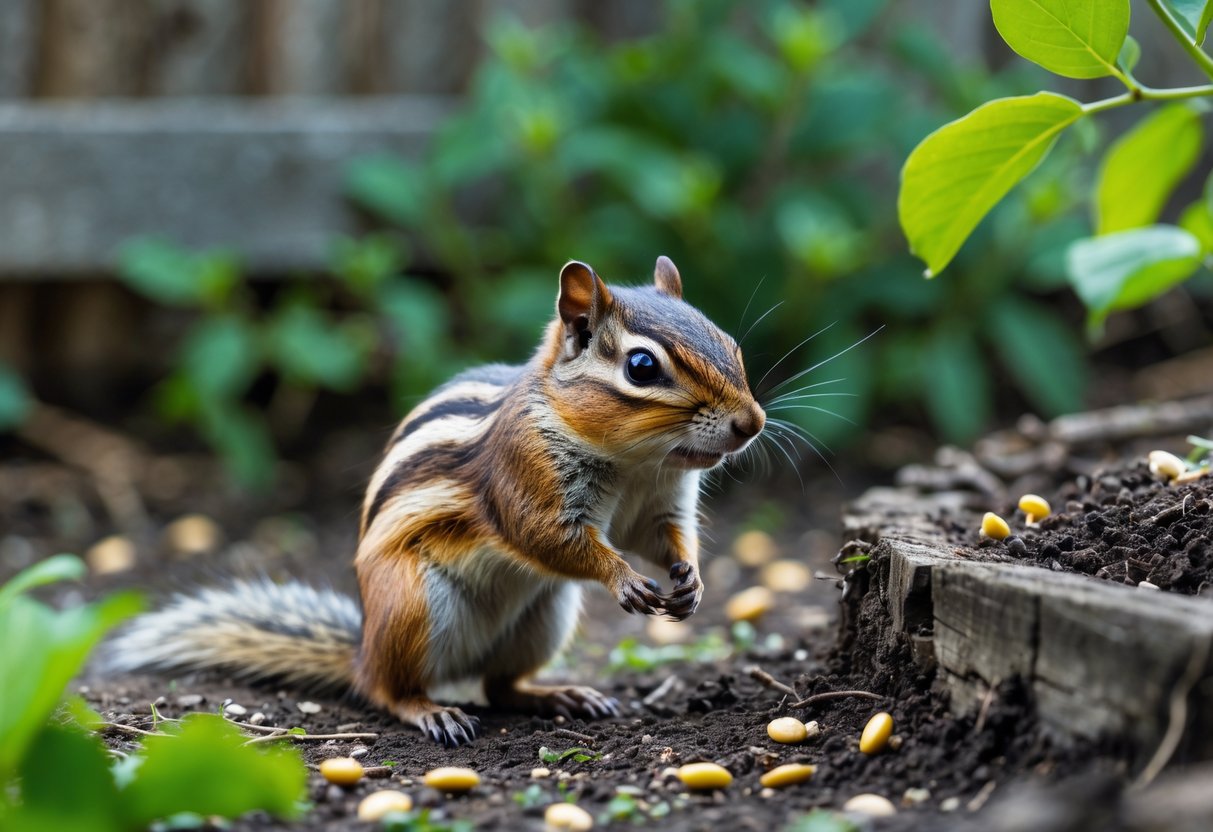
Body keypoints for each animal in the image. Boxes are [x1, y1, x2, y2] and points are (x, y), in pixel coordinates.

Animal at [105, 256, 765, 747]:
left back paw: (559, 694)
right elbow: (548, 537)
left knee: (499, 687)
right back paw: (431, 710)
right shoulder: (523, 478)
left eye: (730, 343)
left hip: (543, 617)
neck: (636, 462)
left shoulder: (661, 502)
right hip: (414, 605)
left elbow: (664, 536)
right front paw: (622, 577)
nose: (752, 423)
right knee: (389, 691)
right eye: (642, 366)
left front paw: (689, 579)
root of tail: (363, 649)